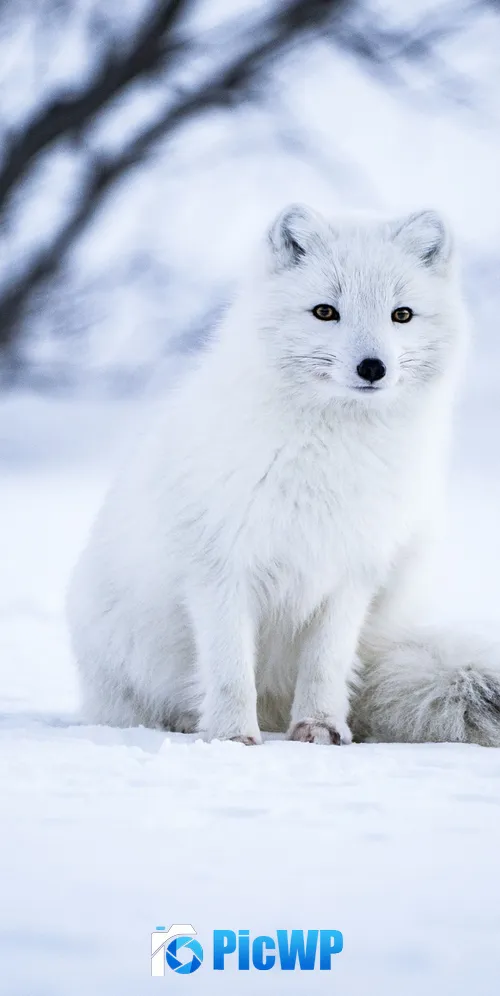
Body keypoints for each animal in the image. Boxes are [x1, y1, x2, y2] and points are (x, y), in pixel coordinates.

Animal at [67, 203, 500, 746]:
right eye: (325, 312)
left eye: (401, 314)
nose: (373, 367)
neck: (330, 452)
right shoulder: (220, 568)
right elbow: (230, 669)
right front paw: (232, 737)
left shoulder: (351, 573)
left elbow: (325, 664)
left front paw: (320, 727)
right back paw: (188, 722)